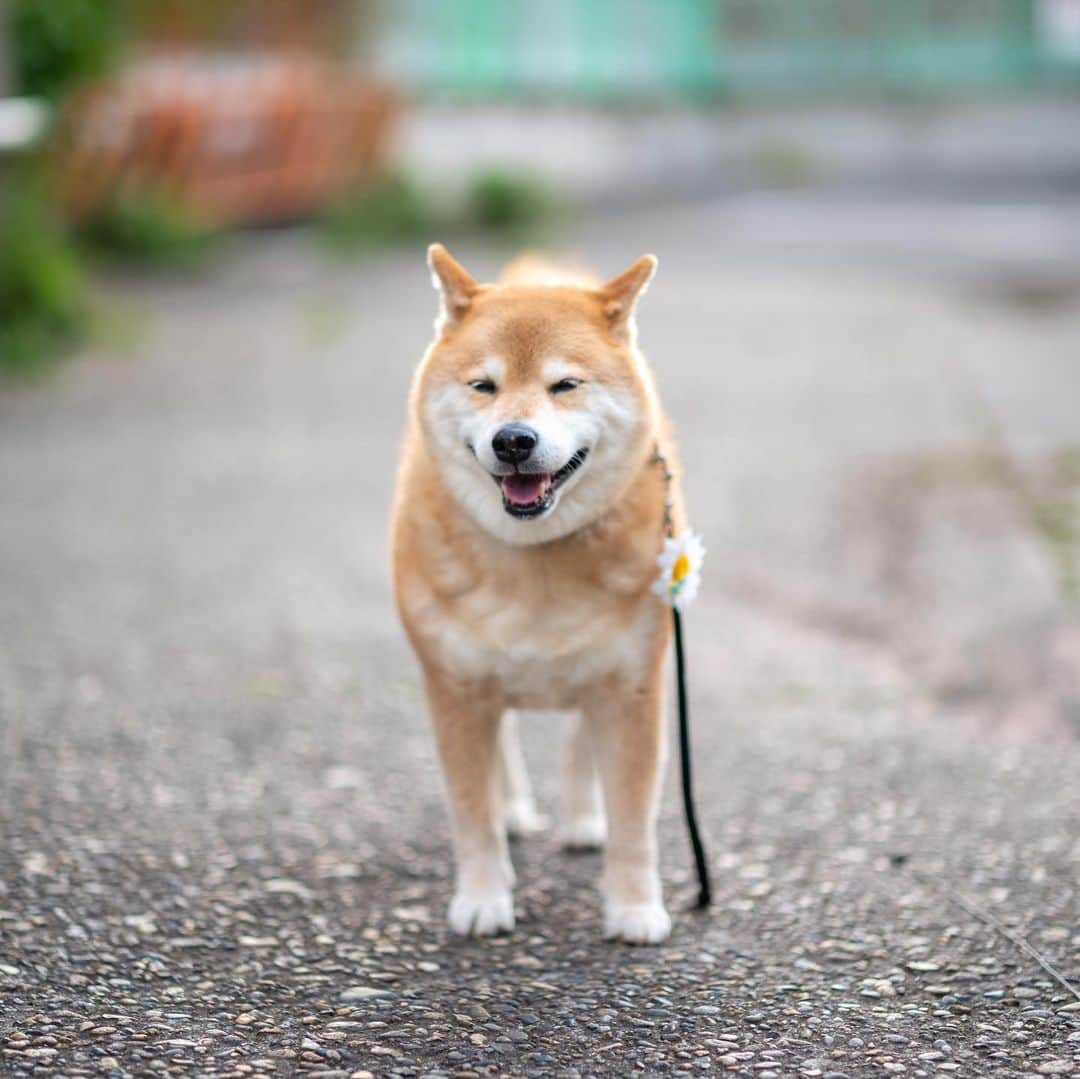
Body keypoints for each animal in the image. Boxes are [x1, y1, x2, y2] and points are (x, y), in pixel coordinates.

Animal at [390, 245, 682, 946]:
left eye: (565, 385)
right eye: (483, 386)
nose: (514, 439)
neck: (535, 557)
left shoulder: (632, 690)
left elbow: (635, 821)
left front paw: (634, 908)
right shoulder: (455, 689)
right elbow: (471, 815)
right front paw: (482, 898)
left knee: (579, 741)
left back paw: (580, 819)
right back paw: (517, 810)